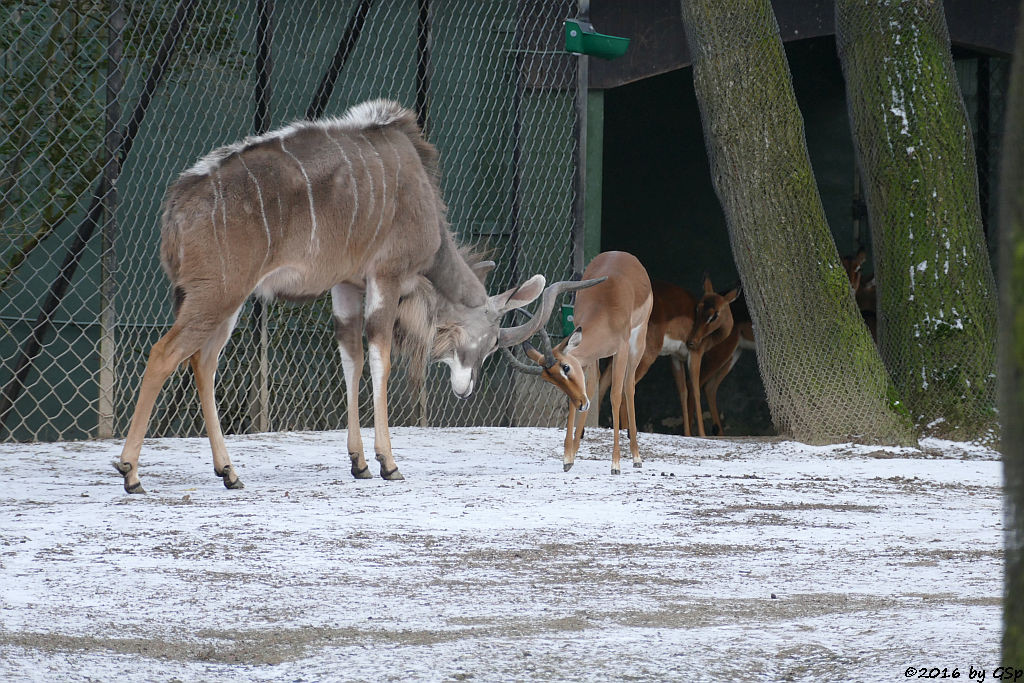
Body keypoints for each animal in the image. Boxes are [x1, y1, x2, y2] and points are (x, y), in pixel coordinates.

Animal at [114, 98, 598, 493]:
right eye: (492, 340)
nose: (466, 390)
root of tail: (178, 204)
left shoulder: (346, 285)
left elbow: (352, 357)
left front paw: (359, 463)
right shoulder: (386, 276)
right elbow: (379, 356)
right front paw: (388, 463)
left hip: (224, 302)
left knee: (203, 361)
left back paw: (229, 472)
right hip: (219, 294)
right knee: (165, 353)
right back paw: (131, 472)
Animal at [501, 250, 651, 475]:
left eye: (565, 367)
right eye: (550, 380)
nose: (581, 404)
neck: (605, 310)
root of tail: (622, 254)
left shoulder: (621, 349)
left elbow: (615, 396)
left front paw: (615, 464)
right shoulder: (584, 358)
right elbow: (579, 395)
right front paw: (567, 458)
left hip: (637, 344)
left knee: (628, 387)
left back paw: (636, 457)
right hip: (595, 358)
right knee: (593, 385)